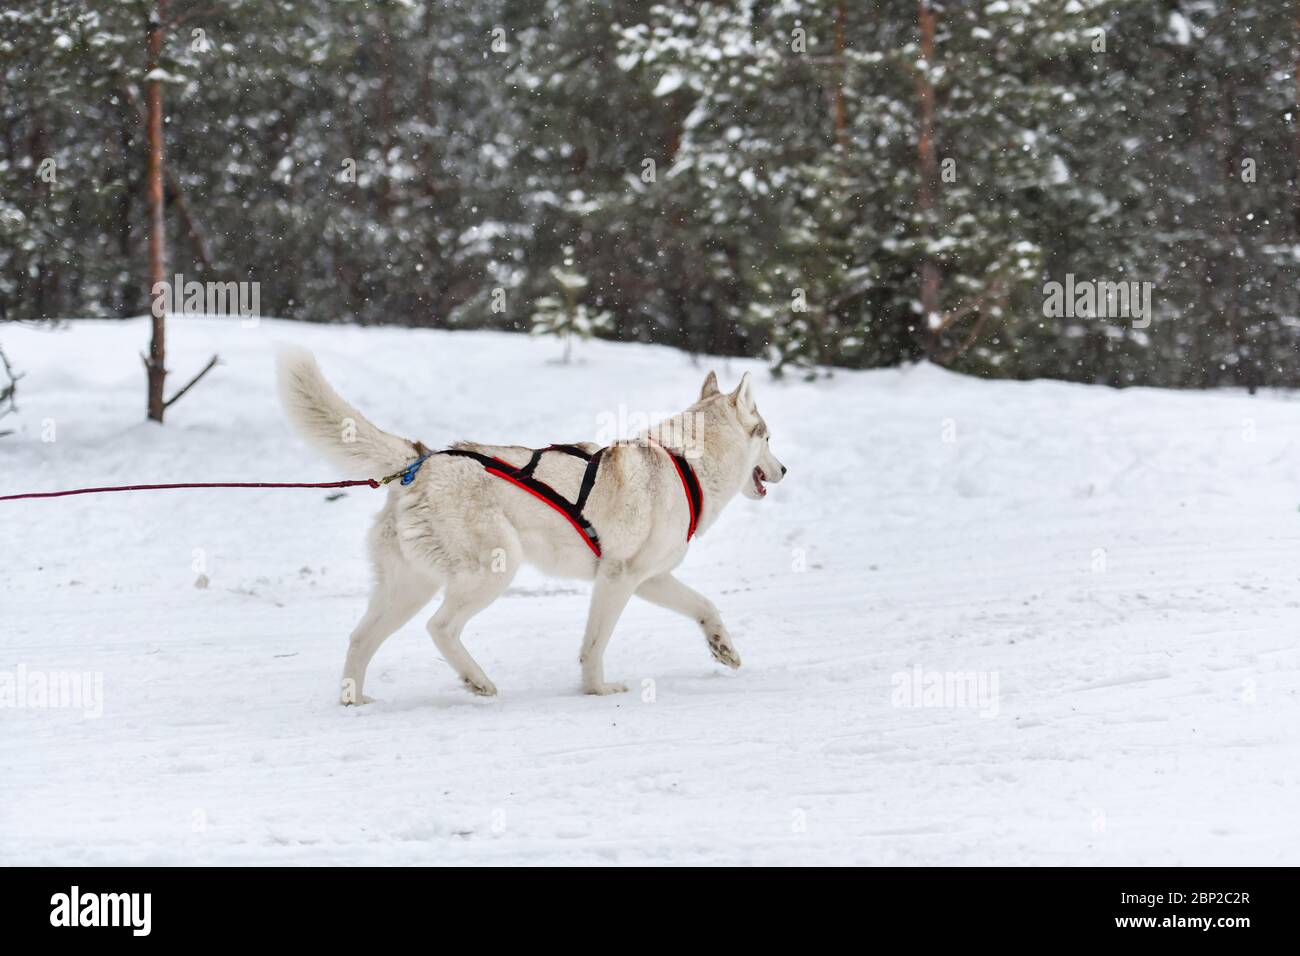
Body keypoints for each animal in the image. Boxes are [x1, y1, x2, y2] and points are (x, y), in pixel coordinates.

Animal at [279, 351, 785, 702]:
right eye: (768, 436)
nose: (784, 470)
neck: (686, 463)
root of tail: (422, 460)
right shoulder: (618, 579)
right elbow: (594, 644)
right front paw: (597, 690)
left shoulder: (650, 579)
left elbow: (705, 606)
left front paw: (722, 648)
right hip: (495, 569)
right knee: (440, 627)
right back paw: (477, 680)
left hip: (408, 586)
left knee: (360, 638)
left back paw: (355, 700)